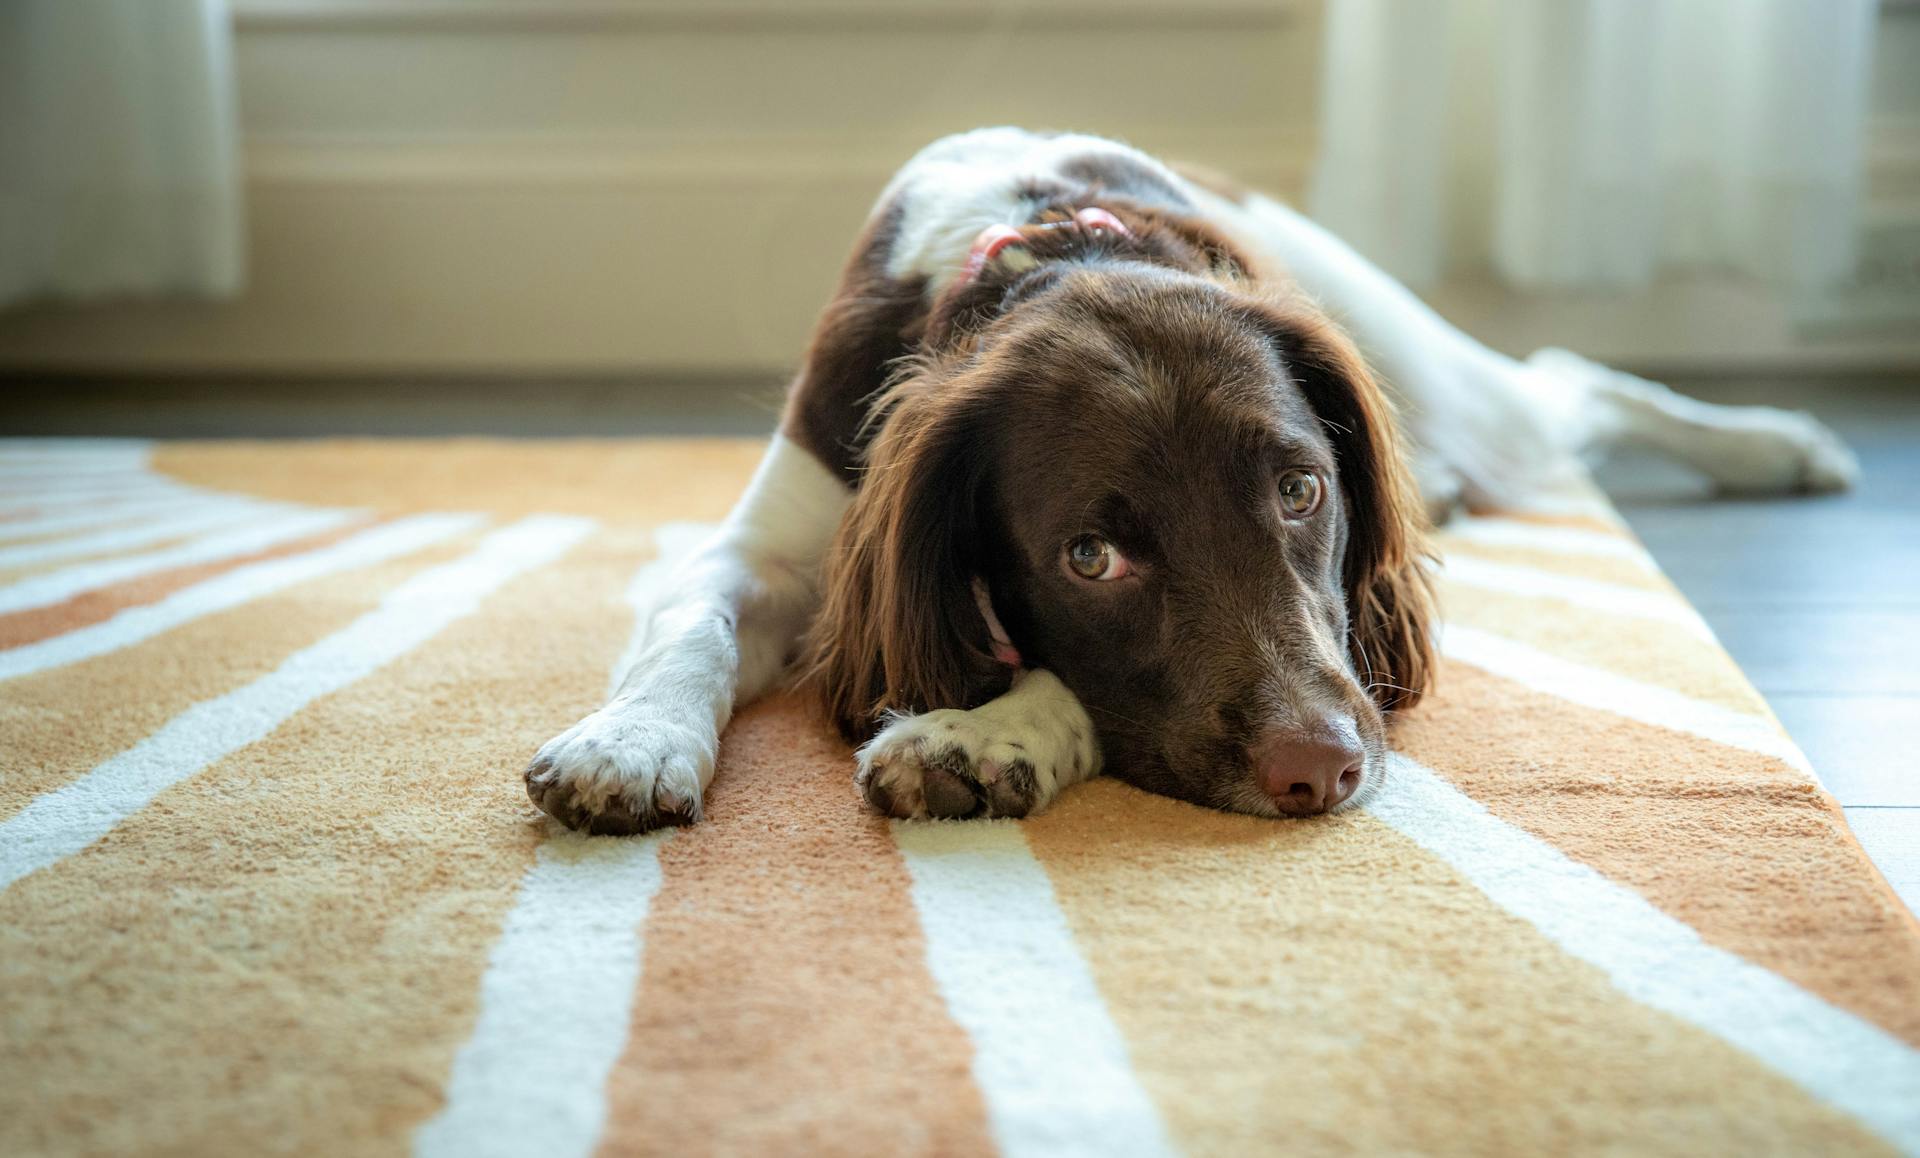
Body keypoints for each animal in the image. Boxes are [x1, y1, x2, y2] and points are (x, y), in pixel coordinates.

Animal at [518, 126, 1850, 833]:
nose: (1323, 769)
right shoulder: (784, 534)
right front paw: (630, 741)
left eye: (1302, 491)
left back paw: (1782, 445)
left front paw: (981, 737)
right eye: (1091, 557)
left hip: (1443, 385)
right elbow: (693, 619)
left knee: (1573, 384)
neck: (1054, 244)